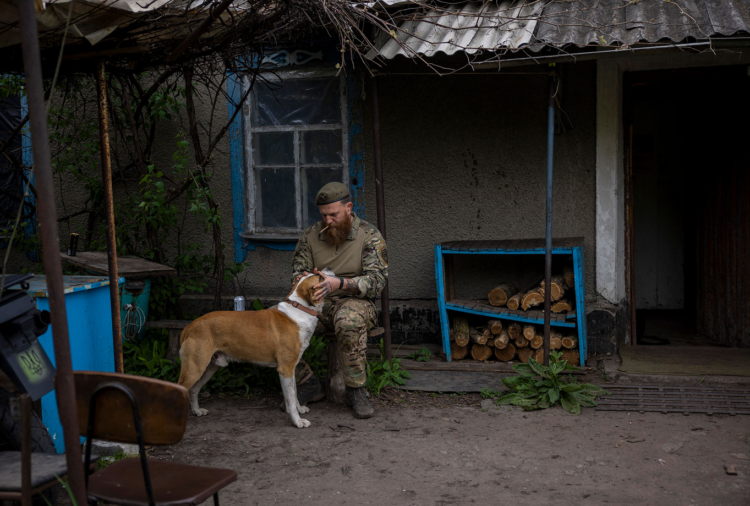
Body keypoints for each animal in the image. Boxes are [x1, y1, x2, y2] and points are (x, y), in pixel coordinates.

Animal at [179, 270, 328, 428]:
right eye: (320, 277)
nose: (329, 268)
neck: (300, 309)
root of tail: (190, 326)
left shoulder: (291, 367)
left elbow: (294, 394)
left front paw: (299, 409)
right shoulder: (285, 369)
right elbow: (291, 398)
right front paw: (297, 421)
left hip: (209, 367)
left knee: (193, 389)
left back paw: (197, 410)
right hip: (194, 369)